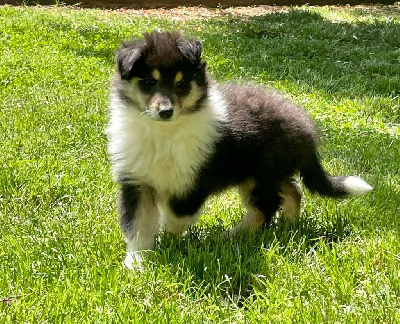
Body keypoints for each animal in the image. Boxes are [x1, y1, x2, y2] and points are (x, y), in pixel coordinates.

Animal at [106, 31, 372, 268]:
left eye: (181, 84)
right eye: (149, 82)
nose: (165, 112)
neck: (165, 133)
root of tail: (307, 132)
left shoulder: (192, 183)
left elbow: (175, 218)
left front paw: (167, 244)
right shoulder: (137, 182)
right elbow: (137, 225)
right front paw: (136, 261)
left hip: (260, 176)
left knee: (264, 210)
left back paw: (231, 236)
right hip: (265, 174)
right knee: (292, 192)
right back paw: (288, 226)